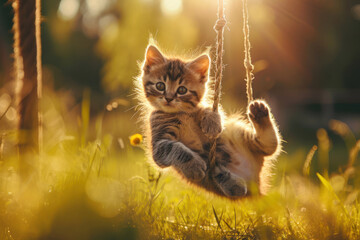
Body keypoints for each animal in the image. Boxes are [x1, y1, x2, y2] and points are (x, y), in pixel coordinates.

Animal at [138, 45, 282, 199]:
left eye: (182, 90)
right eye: (160, 86)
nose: (169, 98)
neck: (181, 114)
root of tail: (256, 184)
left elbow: (207, 109)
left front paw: (212, 123)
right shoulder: (158, 147)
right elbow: (175, 148)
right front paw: (194, 165)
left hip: (237, 132)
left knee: (269, 146)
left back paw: (259, 113)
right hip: (216, 171)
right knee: (218, 172)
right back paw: (234, 185)